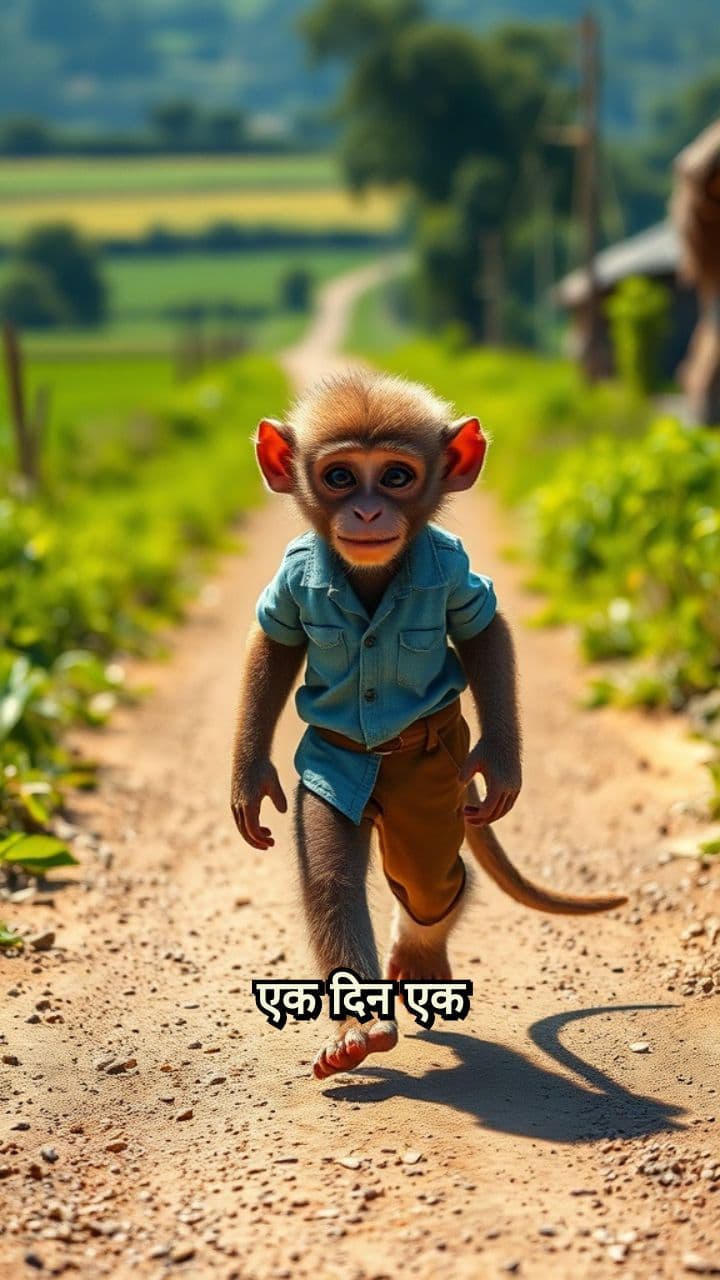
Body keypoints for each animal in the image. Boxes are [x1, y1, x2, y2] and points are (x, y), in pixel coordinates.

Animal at [231, 369, 626, 1080]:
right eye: (339, 476)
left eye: (394, 476)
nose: (366, 512)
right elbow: (272, 649)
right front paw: (250, 780)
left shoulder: (450, 564)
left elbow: (484, 631)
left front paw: (501, 764)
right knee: (345, 876)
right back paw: (358, 1026)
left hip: (435, 795)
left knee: (429, 882)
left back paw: (418, 955)